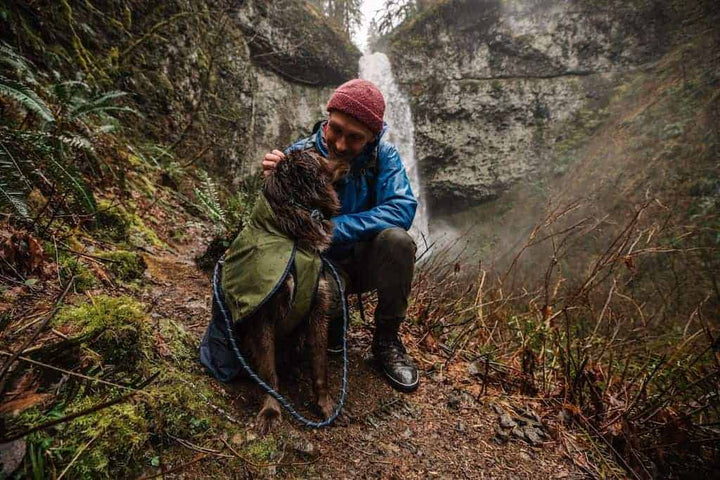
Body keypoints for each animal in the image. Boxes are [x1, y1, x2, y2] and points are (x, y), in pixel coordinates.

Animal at [233, 150, 340, 436]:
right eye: (319, 154)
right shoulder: (263, 312)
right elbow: (268, 373)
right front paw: (271, 411)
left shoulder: (318, 307)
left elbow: (320, 367)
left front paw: (326, 406)